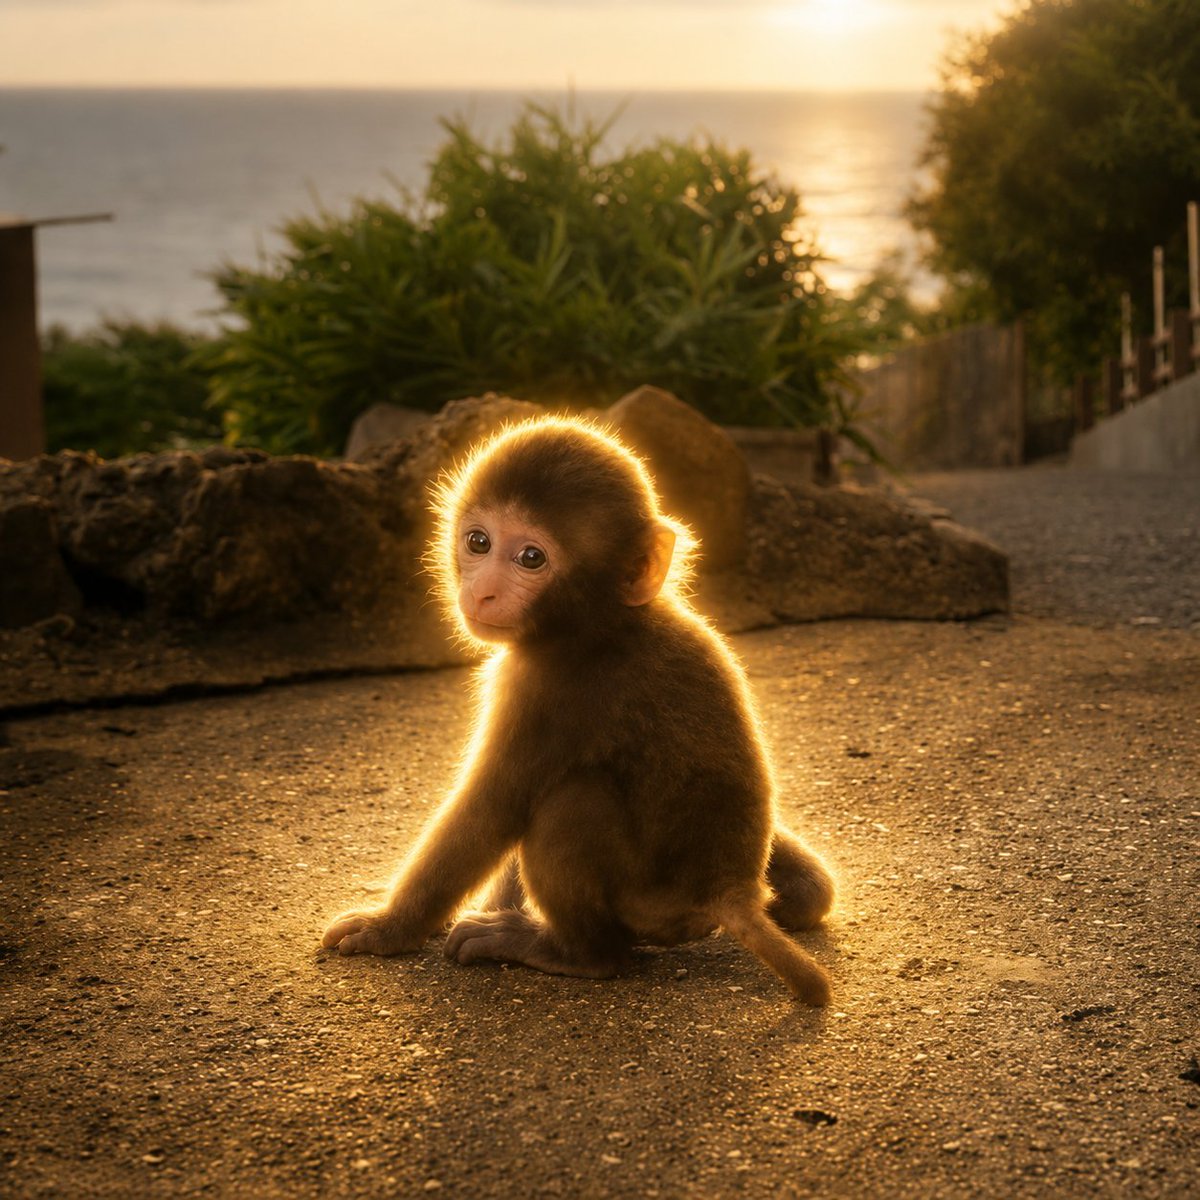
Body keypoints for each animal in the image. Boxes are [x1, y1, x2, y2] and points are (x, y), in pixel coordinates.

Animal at [322, 416, 835, 1004]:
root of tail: (730, 891)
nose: (483, 592)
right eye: (478, 542)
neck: (602, 620)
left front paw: (388, 928)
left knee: (570, 801)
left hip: (652, 908)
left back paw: (572, 953)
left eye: (531, 558)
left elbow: (492, 808)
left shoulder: (542, 690)